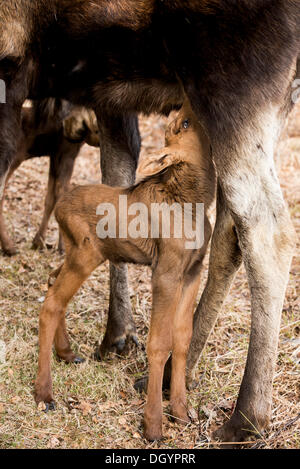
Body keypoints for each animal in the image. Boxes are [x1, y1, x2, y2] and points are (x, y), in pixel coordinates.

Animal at [0, 100, 99, 256]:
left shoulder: (55, 154)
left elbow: (50, 198)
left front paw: (38, 242)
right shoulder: (67, 151)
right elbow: (61, 195)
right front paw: (63, 247)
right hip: (15, 156)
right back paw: (9, 246)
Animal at [34, 100, 216, 440]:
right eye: (184, 124)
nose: (190, 101)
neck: (196, 201)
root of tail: (60, 207)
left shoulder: (193, 270)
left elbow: (183, 338)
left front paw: (181, 412)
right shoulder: (166, 271)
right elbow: (159, 342)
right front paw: (153, 424)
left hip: (75, 252)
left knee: (52, 283)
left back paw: (66, 352)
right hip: (86, 254)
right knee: (51, 303)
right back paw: (44, 393)